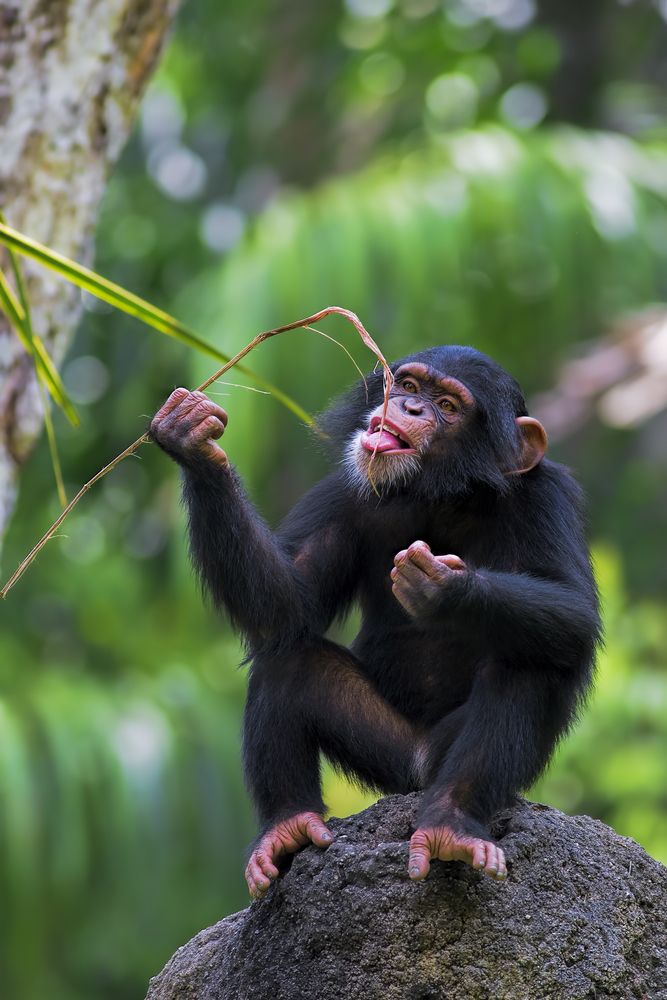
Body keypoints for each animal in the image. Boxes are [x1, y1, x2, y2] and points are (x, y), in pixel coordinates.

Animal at [150, 348, 600, 896]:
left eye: (447, 405)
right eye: (407, 384)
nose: (408, 406)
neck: (447, 493)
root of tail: (420, 771)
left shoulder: (548, 499)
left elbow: (575, 611)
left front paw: (444, 588)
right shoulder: (345, 489)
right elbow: (289, 604)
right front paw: (193, 441)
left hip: (444, 761)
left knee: (527, 661)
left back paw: (451, 823)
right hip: (389, 755)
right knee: (288, 660)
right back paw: (287, 826)